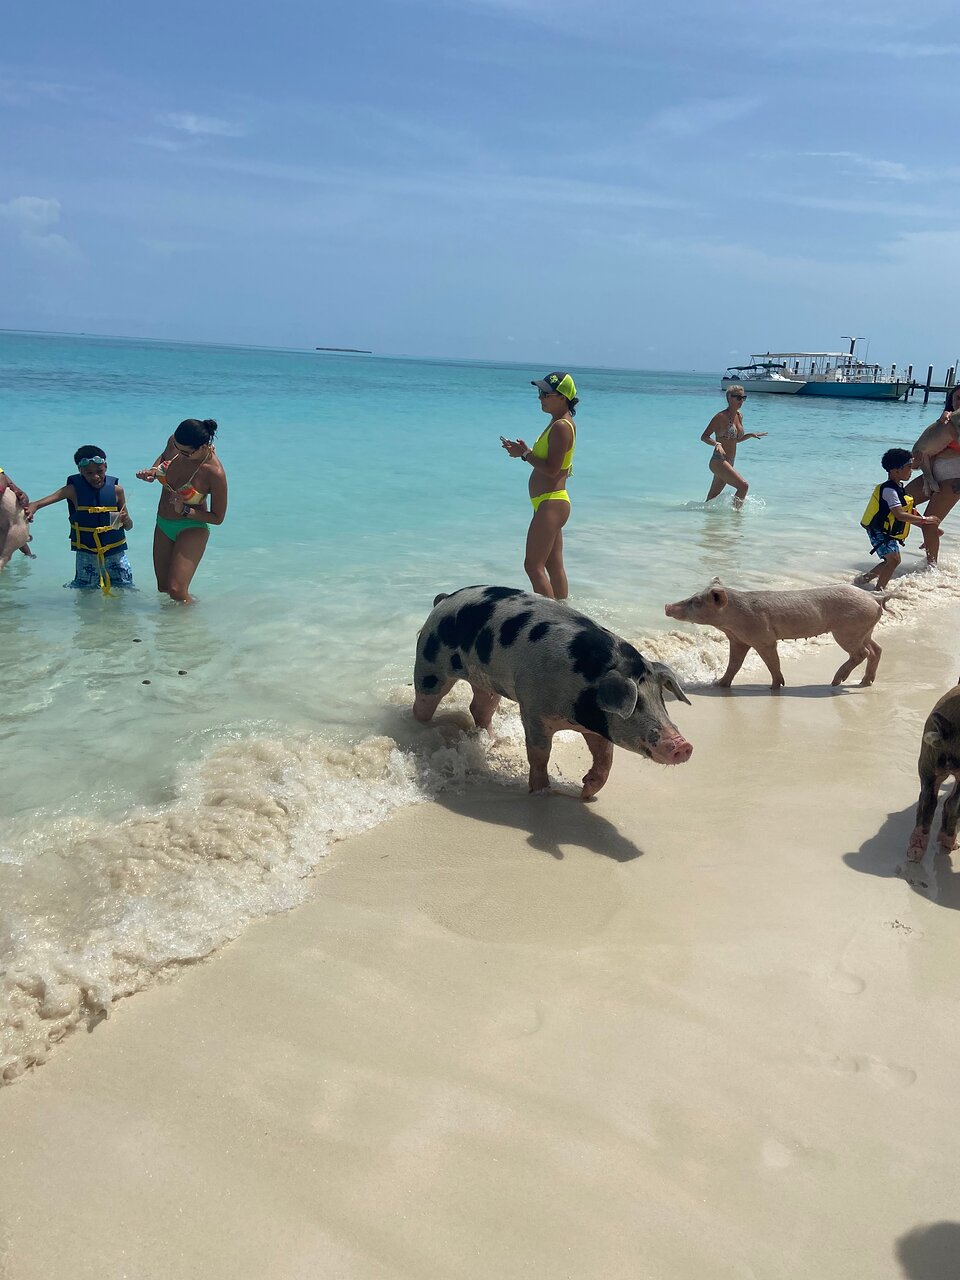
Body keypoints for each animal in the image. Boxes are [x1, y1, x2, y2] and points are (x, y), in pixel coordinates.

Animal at [413, 585, 693, 798]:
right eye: (637, 703)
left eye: (660, 698)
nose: (684, 745)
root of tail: (445, 598)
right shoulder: (534, 710)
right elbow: (539, 753)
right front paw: (542, 792)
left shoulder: (598, 726)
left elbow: (605, 758)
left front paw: (586, 792)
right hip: (429, 665)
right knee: (423, 705)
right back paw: (420, 727)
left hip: (487, 681)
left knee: (480, 707)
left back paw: (494, 740)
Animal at [664, 577, 885, 690]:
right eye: (693, 596)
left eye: (697, 601)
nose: (667, 605)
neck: (731, 621)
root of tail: (873, 598)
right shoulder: (739, 640)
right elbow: (734, 664)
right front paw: (719, 685)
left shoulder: (763, 638)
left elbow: (772, 662)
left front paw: (775, 687)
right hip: (865, 630)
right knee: (877, 649)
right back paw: (865, 682)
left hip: (848, 630)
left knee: (863, 653)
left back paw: (836, 682)